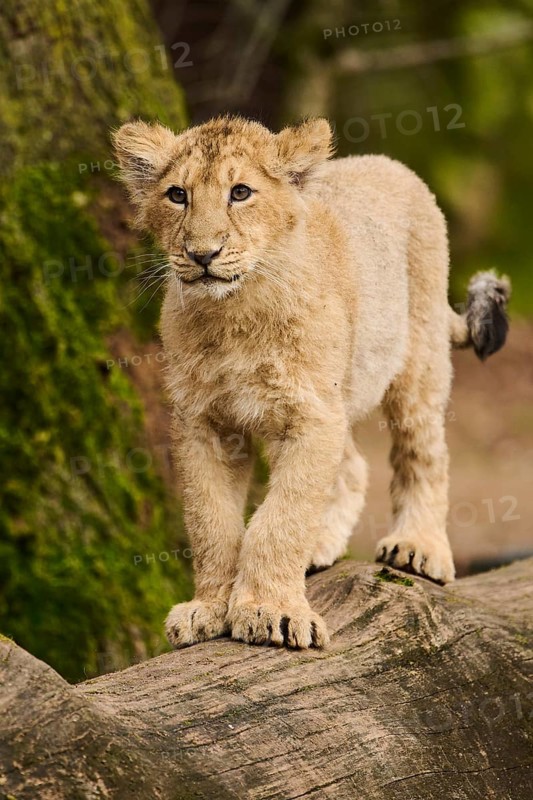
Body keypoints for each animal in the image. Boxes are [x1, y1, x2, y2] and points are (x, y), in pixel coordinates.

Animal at [113, 115, 510, 650]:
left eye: (241, 192)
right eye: (177, 195)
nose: (202, 254)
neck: (233, 314)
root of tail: (387, 163)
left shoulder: (310, 416)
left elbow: (281, 517)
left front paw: (270, 611)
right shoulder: (202, 424)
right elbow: (212, 522)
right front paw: (209, 607)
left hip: (419, 361)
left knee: (422, 452)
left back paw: (417, 547)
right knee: (353, 467)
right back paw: (320, 547)